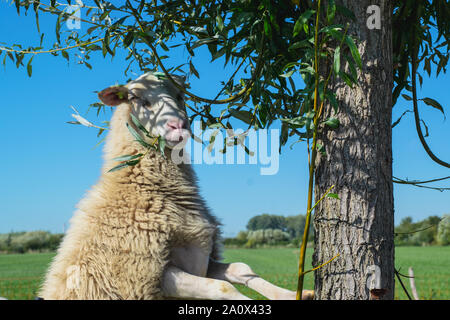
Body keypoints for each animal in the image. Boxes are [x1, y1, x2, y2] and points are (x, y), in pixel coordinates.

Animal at [37, 72, 312, 300]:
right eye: (135, 98)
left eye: (179, 95)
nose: (178, 126)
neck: (146, 189)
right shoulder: (149, 274)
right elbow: (222, 287)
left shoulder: (202, 260)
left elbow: (241, 269)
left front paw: (292, 295)